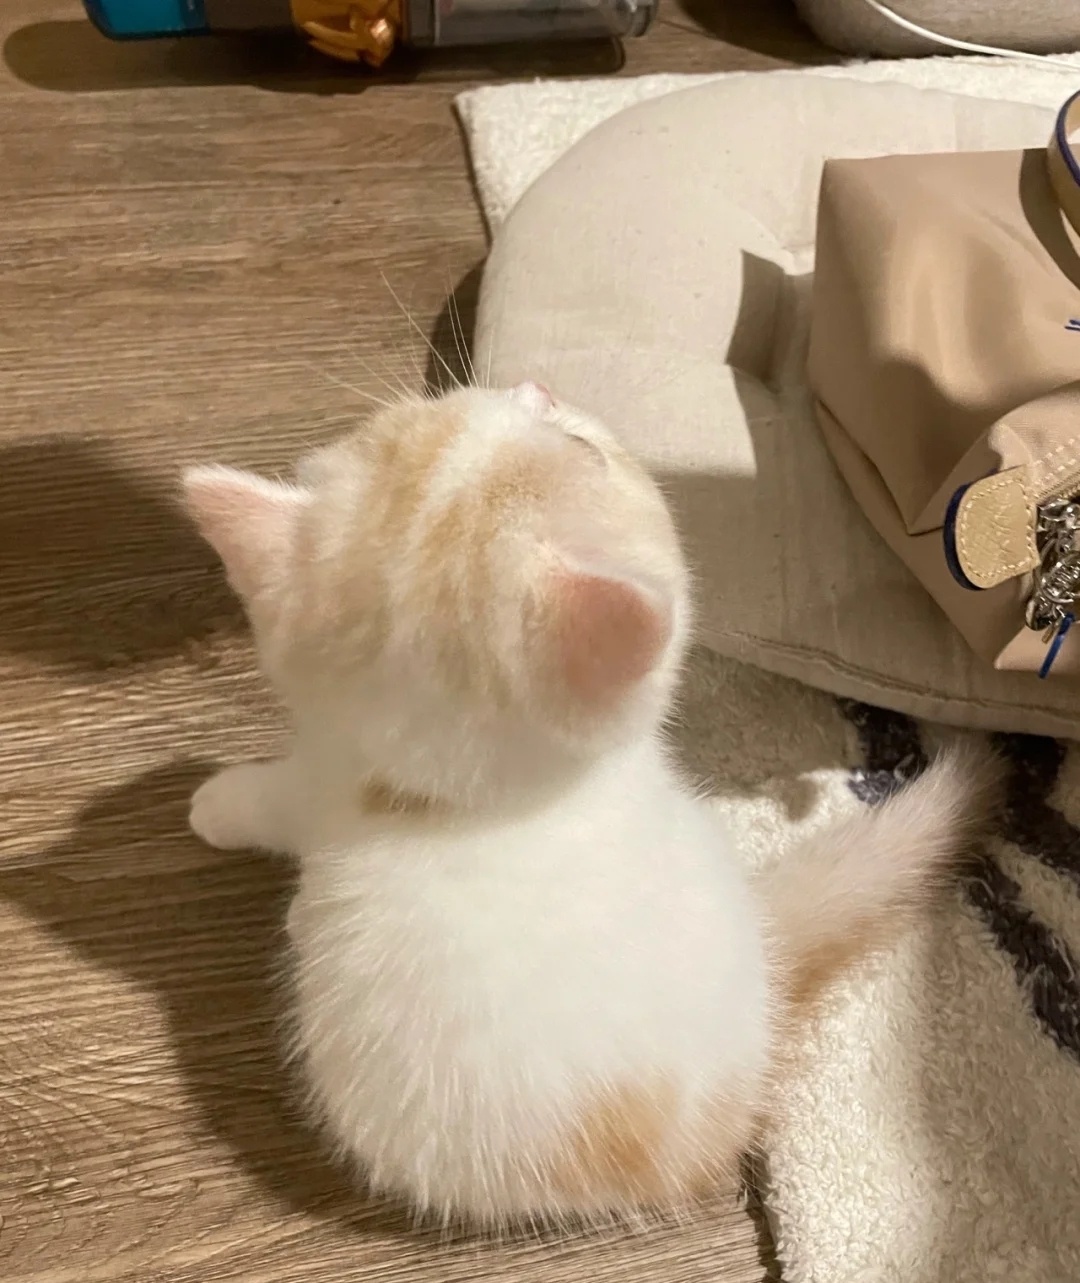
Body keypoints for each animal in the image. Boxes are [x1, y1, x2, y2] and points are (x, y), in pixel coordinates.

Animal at [182, 381, 997, 1230]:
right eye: (583, 448)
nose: (539, 387)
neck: (451, 803)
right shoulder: (329, 763)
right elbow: (283, 792)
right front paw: (219, 804)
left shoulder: (328, 769)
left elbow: (281, 795)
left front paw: (214, 804)